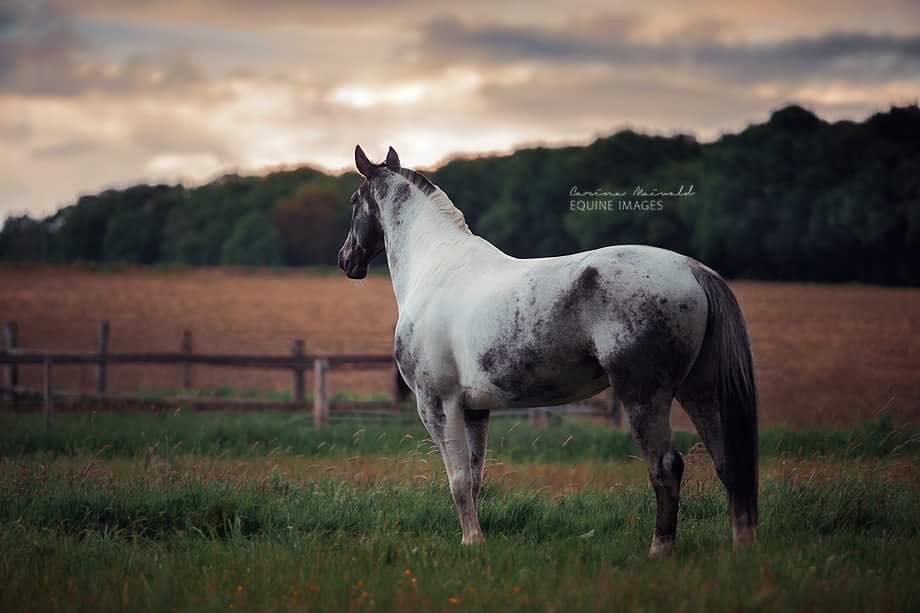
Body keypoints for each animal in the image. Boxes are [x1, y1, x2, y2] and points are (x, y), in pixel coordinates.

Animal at [336, 145, 756, 556]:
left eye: (354, 200)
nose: (346, 259)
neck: (436, 267)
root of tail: (693, 270)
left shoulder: (437, 403)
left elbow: (457, 478)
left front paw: (471, 541)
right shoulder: (474, 410)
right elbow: (474, 477)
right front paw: (477, 538)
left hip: (644, 395)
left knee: (666, 467)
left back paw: (660, 549)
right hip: (699, 390)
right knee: (727, 460)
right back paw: (740, 544)